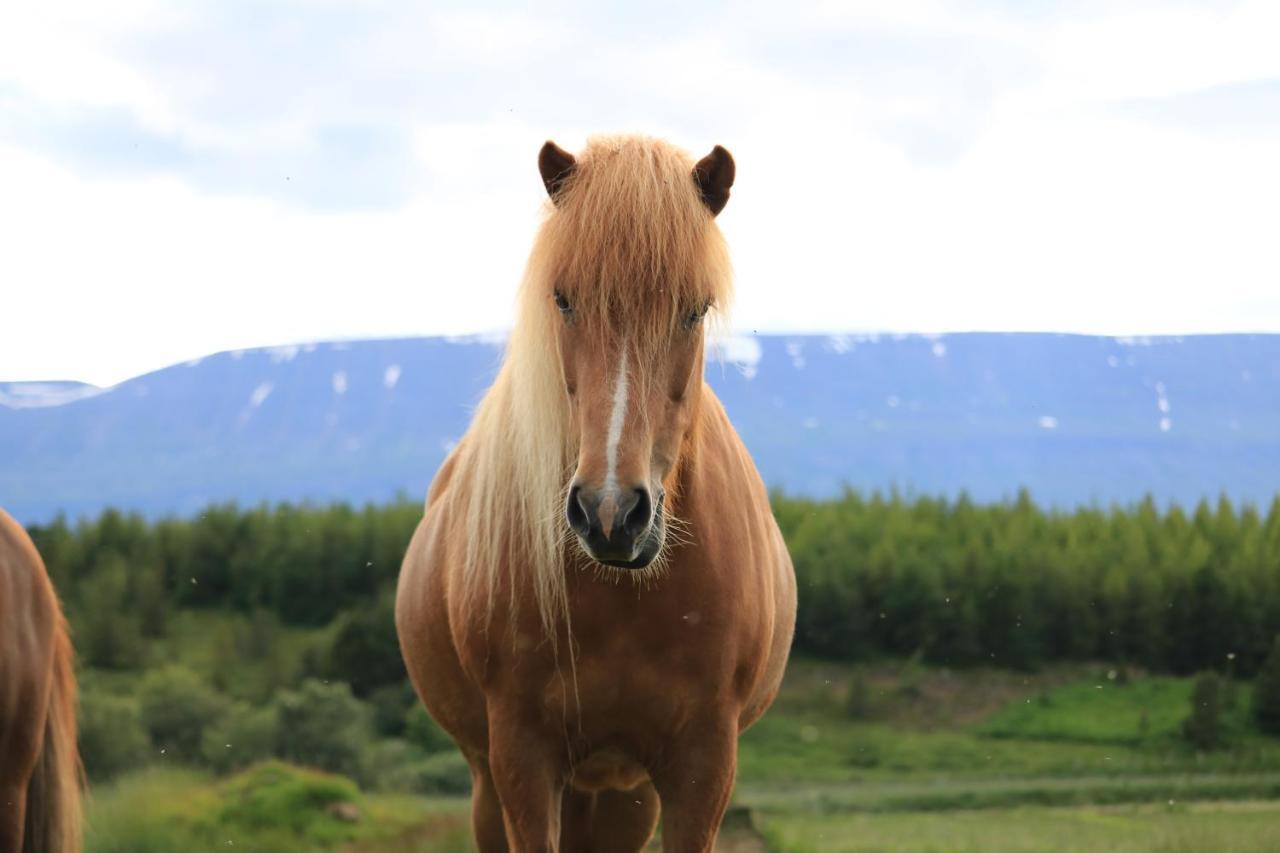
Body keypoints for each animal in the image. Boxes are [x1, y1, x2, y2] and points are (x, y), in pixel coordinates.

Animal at [399, 136, 793, 845]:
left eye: (695, 309)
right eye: (563, 300)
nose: (610, 513)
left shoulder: (703, 767)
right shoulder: (521, 761)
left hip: (621, 796)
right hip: (492, 782)